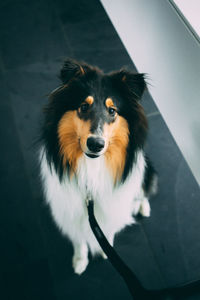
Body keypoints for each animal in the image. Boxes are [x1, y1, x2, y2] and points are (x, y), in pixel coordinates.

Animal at [39, 58, 158, 274]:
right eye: (84, 106)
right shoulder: (71, 211)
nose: (96, 144)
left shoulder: (111, 209)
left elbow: (107, 230)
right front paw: (79, 261)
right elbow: (78, 239)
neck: (92, 167)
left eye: (112, 110)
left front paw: (104, 251)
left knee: (144, 190)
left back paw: (143, 207)